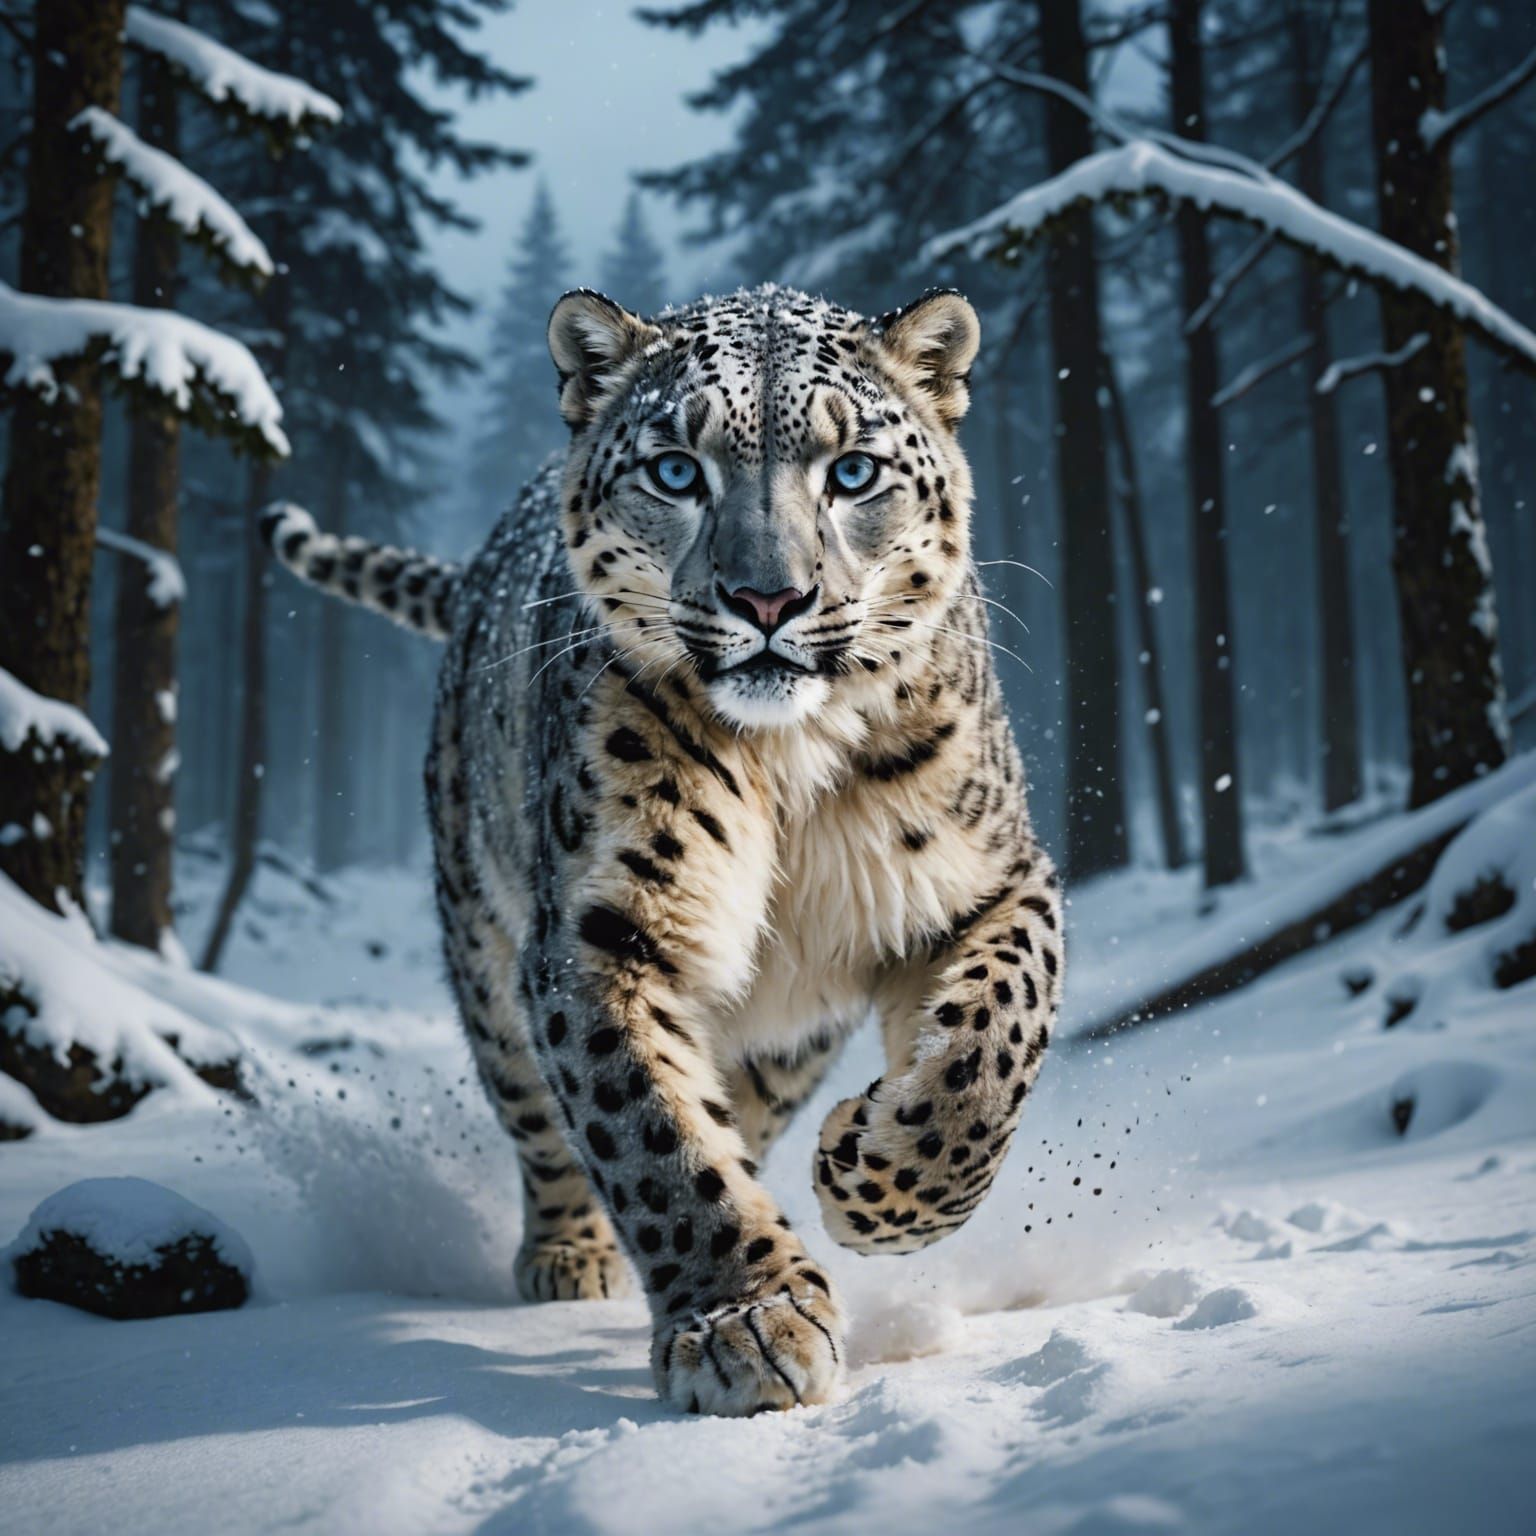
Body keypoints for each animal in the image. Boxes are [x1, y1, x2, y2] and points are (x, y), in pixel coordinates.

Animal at [263, 283, 1064, 1417]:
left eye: (853, 471)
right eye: (677, 471)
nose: (769, 599)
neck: (791, 767)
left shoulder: (989, 875)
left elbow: (992, 1042)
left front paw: (876, 1186)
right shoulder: (600, 929)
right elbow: (649, 1130)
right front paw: (746, 1323)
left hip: (790, 1031)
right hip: (483, 950)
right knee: (540, 1114)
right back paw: (570, 1254)